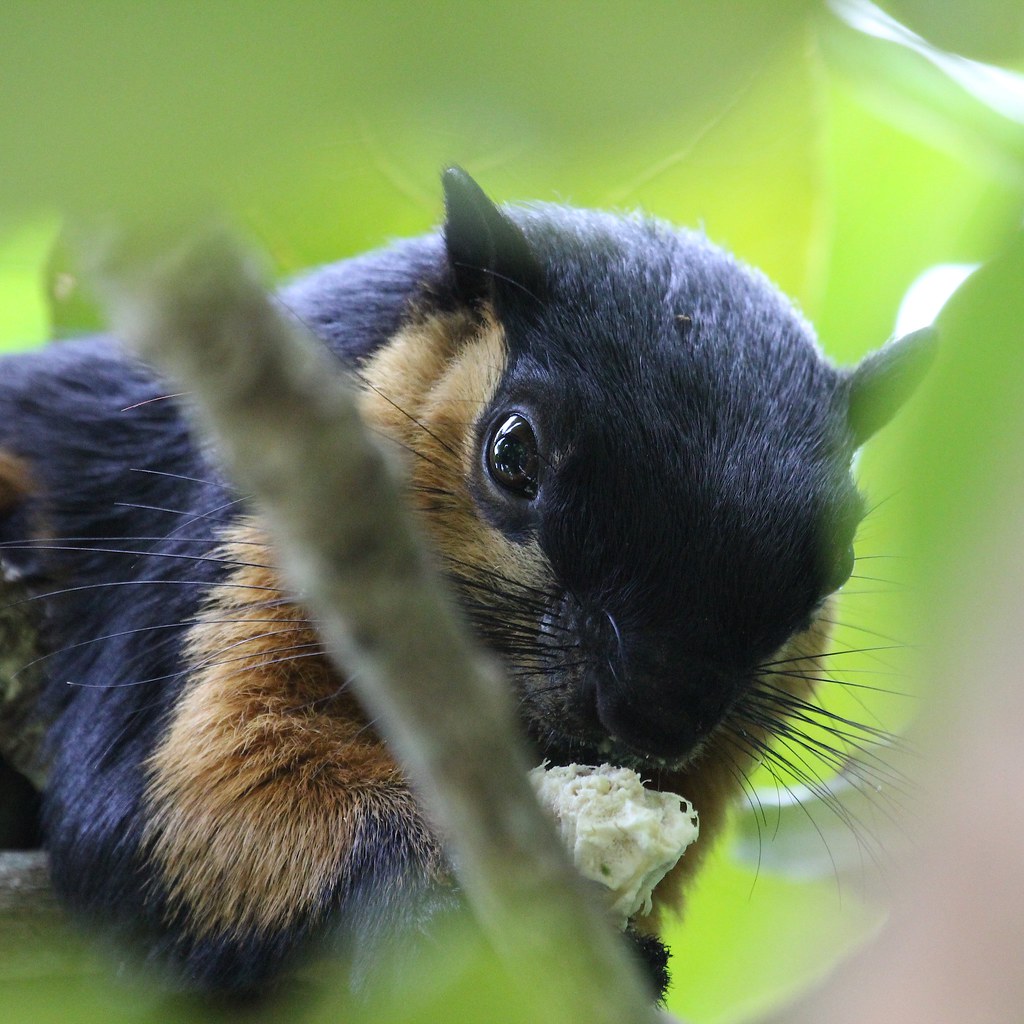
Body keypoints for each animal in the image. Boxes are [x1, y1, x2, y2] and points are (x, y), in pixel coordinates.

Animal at [0, 169, 933, 998]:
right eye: (511, 451)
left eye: (842, 555)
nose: (655, 711)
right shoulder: (225, 563)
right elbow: (176, 800)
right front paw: (433, 884)